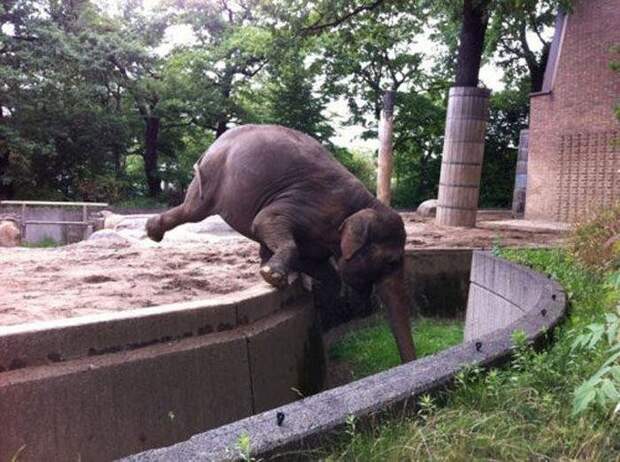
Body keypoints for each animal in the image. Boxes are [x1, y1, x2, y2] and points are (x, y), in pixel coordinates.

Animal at [147, 124, 416, 362]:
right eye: (391, 262)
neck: (367, 203)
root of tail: (215, 142)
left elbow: (318, 265)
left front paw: (320, 302)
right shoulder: (311, 203)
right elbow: (264, 221)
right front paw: (273, 277)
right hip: (212, 175)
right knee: (194, 210)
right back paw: (153, 231)